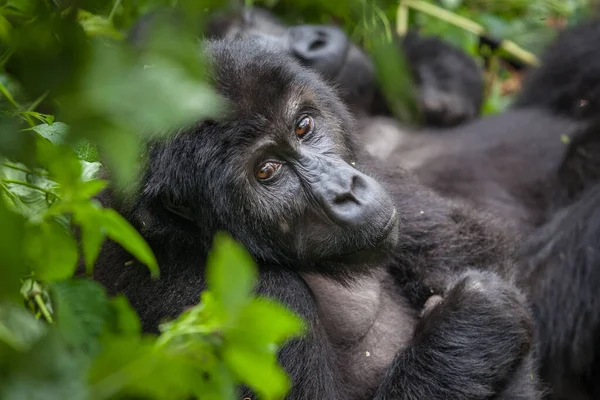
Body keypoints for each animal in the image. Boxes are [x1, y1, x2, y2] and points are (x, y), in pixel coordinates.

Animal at [92, 36, 540, 398]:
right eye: (266, 170)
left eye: (303, 126)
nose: (346, 190)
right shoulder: (238, 298)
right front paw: (478, 314)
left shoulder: (370, 160)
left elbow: (477, 246)